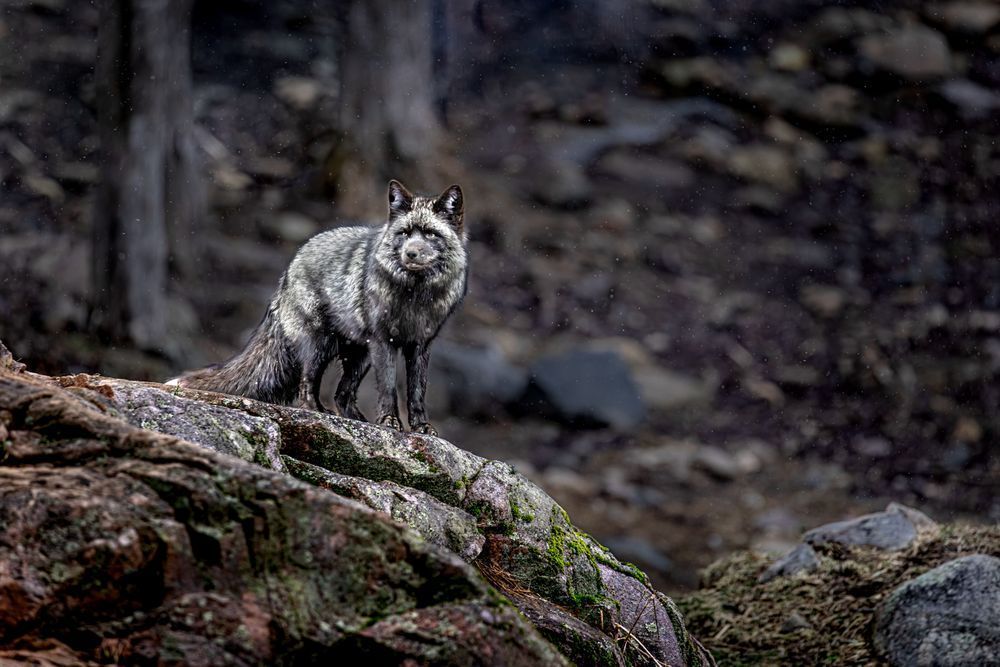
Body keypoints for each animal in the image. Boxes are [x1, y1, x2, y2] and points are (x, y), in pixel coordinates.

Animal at [168, 180, 468, 436]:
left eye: (430, 234)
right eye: (404, 233)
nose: (411, 253)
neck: (415, 296)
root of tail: (289, 268)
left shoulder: (420, 345)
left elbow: (417, 391)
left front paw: (421, 428)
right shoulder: (385, 342)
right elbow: (388, 389)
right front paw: (389, 422)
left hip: (360, 355)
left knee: (342, 395)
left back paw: (359, 423)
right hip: (320, 345)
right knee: (306, 387)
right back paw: (318, 413)